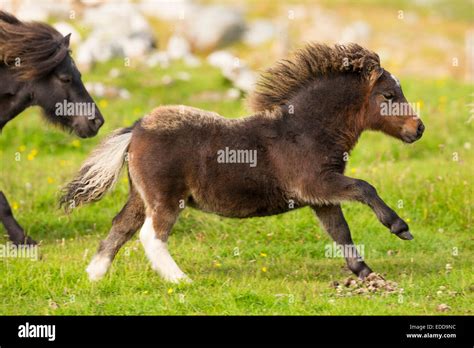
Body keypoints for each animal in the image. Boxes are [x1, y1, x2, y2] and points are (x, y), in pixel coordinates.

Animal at [61, 42, 424, 282]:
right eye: (389, 96)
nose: (418, 128)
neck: (305, 129)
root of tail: (136, 128)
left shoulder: (320, 196)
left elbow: (340, 231)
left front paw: (366, 272)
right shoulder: (316, 183)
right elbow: (365, 188)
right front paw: (400, 228)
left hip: (141, 195)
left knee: (121, 226)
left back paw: (94, 276)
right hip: (166, 198)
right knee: (151, 236)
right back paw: (181, 280)